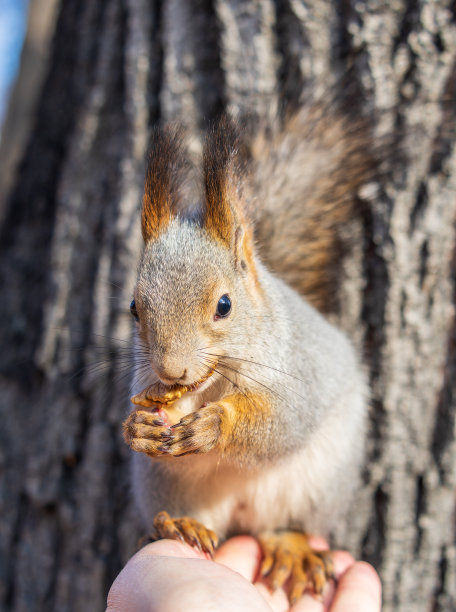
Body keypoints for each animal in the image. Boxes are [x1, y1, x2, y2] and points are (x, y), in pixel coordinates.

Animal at [123, 103, 372, 604]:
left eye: (224, 305)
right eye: (134, 309)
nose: (172, 371)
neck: (211, 383)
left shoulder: (299, 374)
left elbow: (282, 421)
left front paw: (217, 424)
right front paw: (137, 427)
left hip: (318, 484)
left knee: (283, 526)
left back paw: (293, 550)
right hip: (164, 485)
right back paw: (180, 526)